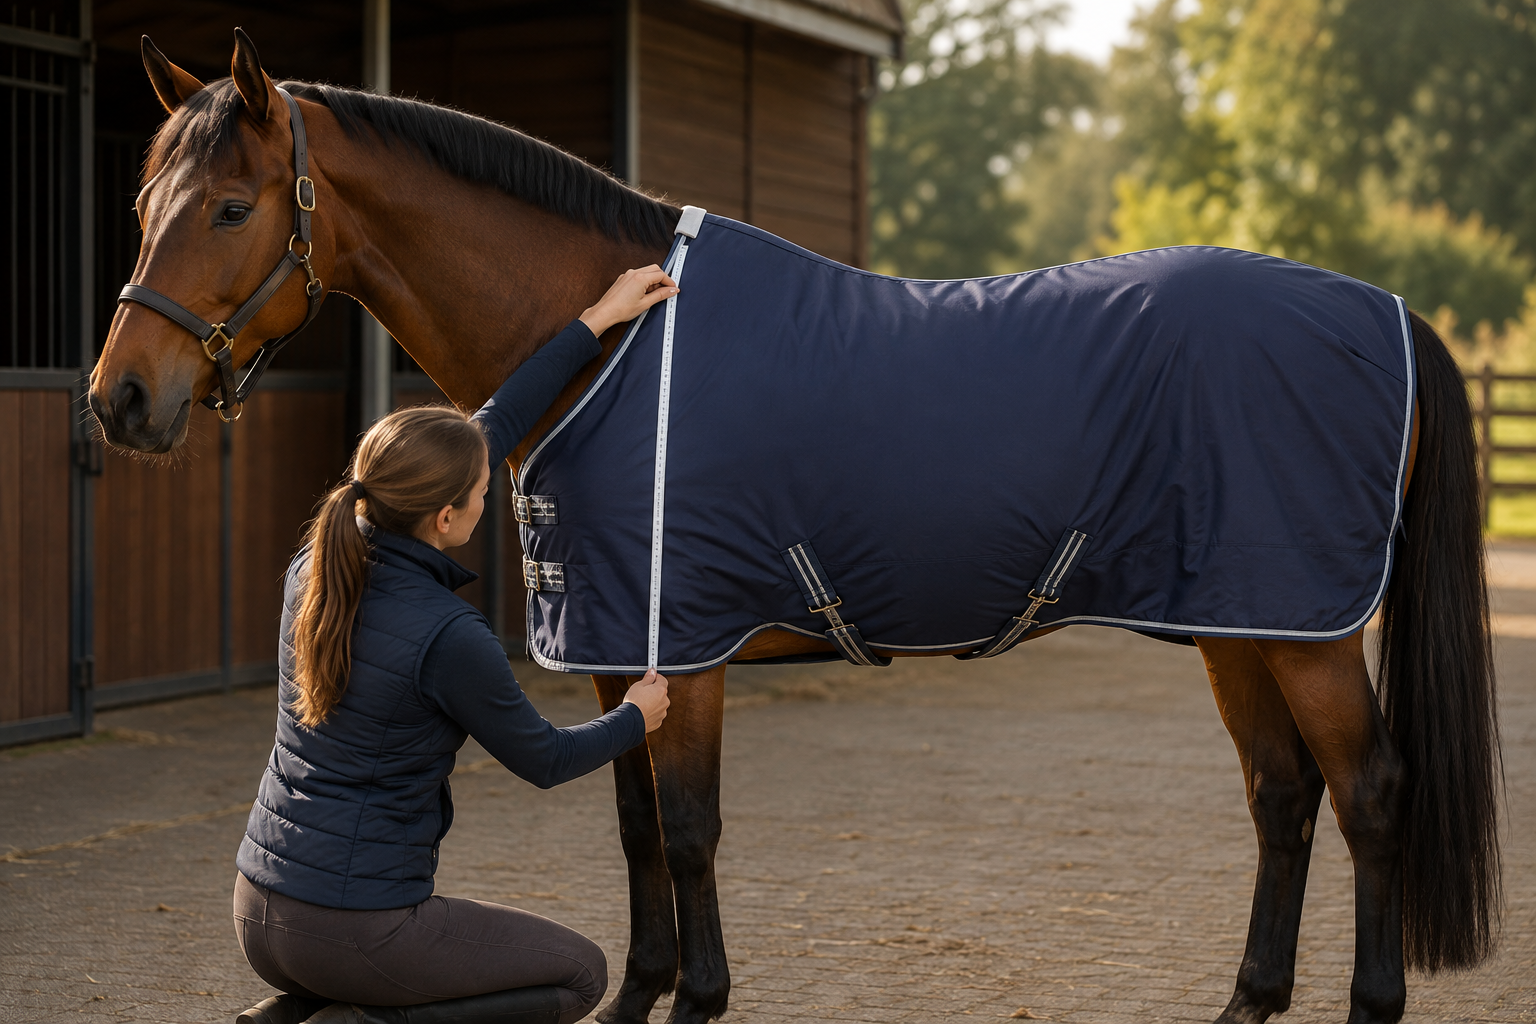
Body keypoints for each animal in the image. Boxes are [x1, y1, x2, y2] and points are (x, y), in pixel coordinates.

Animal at [89, 30, 1500, 1024]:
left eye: (230, 207)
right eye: (145, 204)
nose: (120, 399)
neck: (618, 350)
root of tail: (1388, 308)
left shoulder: (690, 643)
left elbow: (692, 828)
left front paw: (698, 998)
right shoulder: (614, 645)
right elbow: (635, 825)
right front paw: (643, 992)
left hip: (1308, 632)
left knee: (1370, 791)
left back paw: (1370, 1001)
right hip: (1239, 621)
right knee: (1282, 794)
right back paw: (1247, 999)